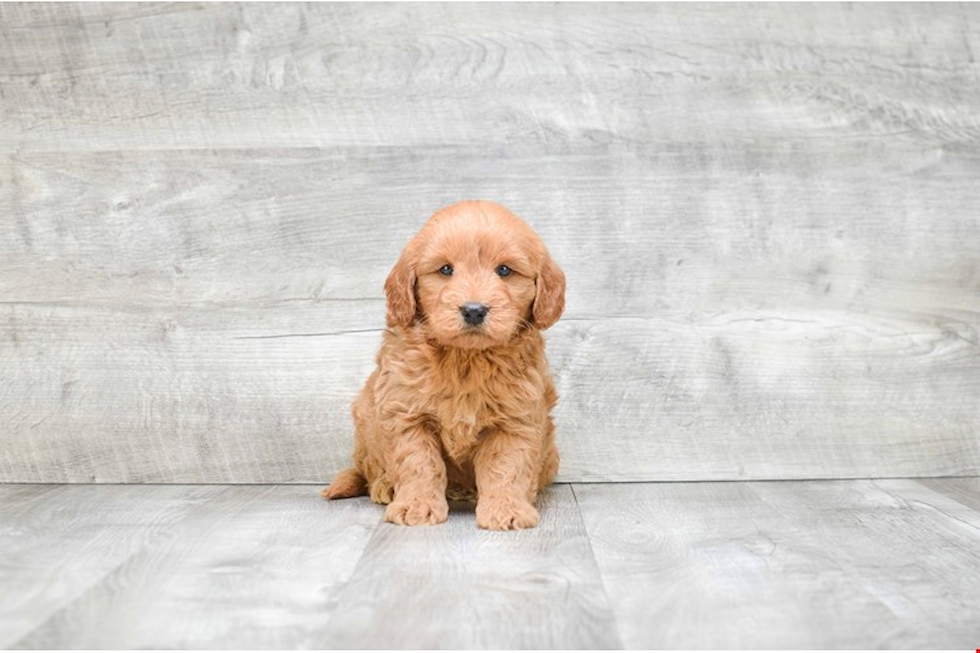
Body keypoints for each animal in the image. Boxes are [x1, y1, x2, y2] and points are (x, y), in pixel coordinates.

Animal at [324, 200, 568, 528]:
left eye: (504, 270)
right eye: (445, 270)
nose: (474, 310)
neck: (465, 358)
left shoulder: (516, 419)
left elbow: (506, 466)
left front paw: (506, 509)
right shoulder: (406, 414)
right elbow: (418, 464)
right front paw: (416, 506)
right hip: (366, 418)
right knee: (369, 468)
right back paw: (385, 486)